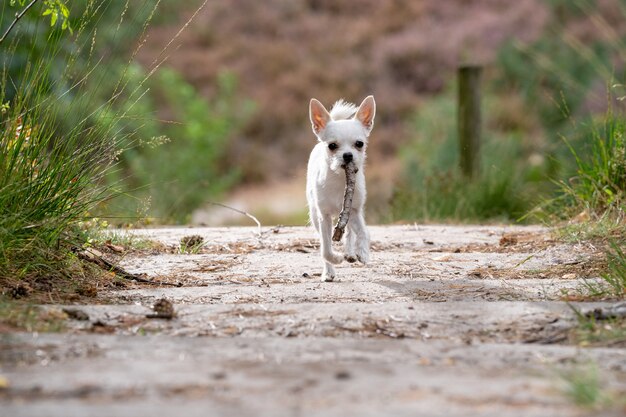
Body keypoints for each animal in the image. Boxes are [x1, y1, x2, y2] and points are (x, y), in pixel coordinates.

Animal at [304, 96, 372, 282]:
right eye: (332, 146)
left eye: (359, 144)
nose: (348, 155)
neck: (340, 179)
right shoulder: (324, 217)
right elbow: (326, 249)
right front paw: (334, 260)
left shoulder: (354, 210)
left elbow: (363, 233)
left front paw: (362, 252)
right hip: (315, 215)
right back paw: (329, 271)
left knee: (350, 232)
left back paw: (350, 252)